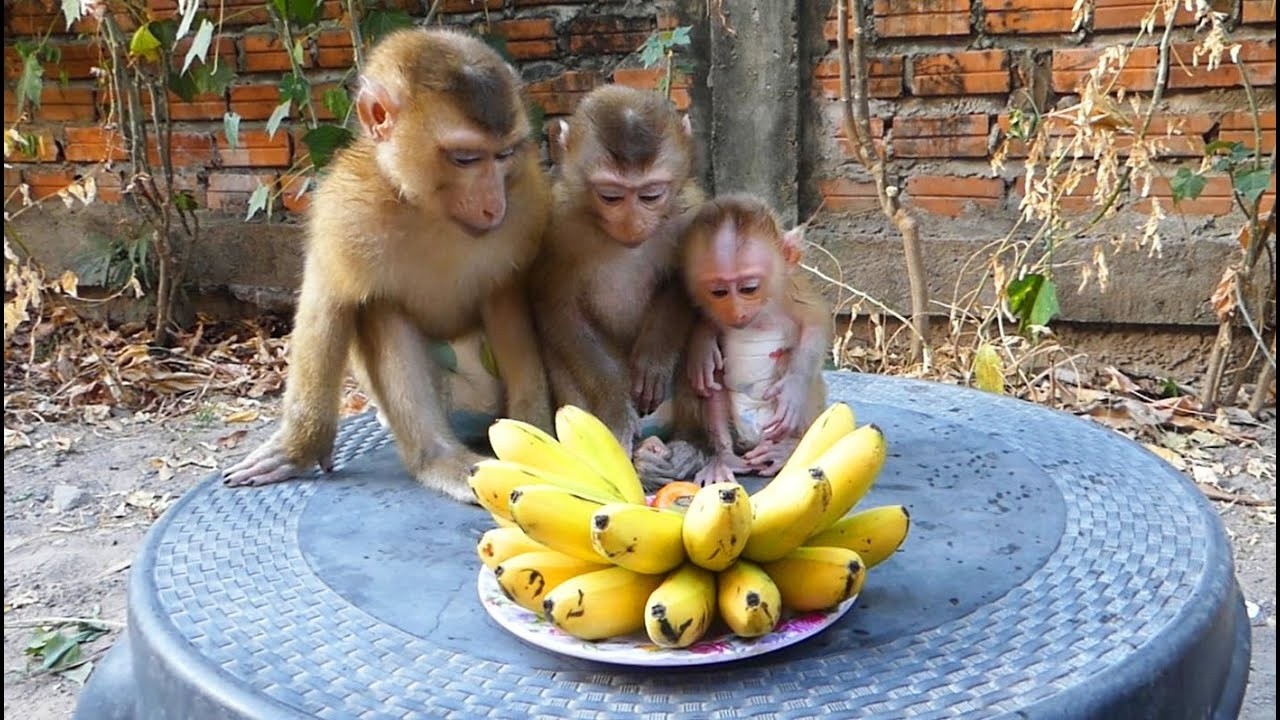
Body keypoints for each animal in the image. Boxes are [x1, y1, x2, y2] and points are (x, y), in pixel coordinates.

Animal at [222, 28, 552, 503]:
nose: (493, 204)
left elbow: (508, 294)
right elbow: (330, 301)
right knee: (379, 306)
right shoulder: (343, 211)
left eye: (504, 154)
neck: (429, 210)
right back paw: (436, 459)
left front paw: (540, 440)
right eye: (466, 158)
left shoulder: (526, 201)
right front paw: (298, 448)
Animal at [529, 84, 705, 460]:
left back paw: (691, 447)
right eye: (610, 196)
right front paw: (615, 406)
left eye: (651, 195)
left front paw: (652, 361)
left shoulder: (691, 212)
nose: (632, 224)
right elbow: (557, 308)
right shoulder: (554, 227)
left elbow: (685, 284)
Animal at [634, 194, 832, 486]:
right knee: (711, 381)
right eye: (719, 292)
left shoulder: (793, 291)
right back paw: (723, 456)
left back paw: (786, 450)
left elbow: (816, 324)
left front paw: (793, 389)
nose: (736, 312)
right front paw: (703, 346)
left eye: (748, 288)